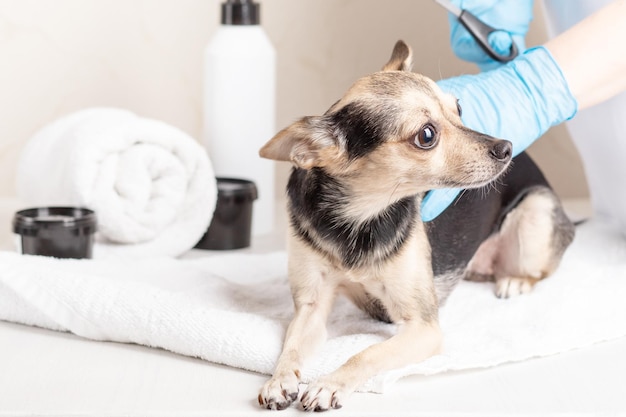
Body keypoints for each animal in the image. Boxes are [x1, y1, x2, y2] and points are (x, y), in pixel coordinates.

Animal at [254, 40, 572, 412]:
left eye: (459, 108)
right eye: (427, 135)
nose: (506, 147)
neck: (359, 219)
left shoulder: (423, 327)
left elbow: (366, 354)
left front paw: (329, 384)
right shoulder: (311, 306)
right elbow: (290, 348)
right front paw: (279, 380)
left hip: (536, 211)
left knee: (538, 269)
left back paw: (515, 280)